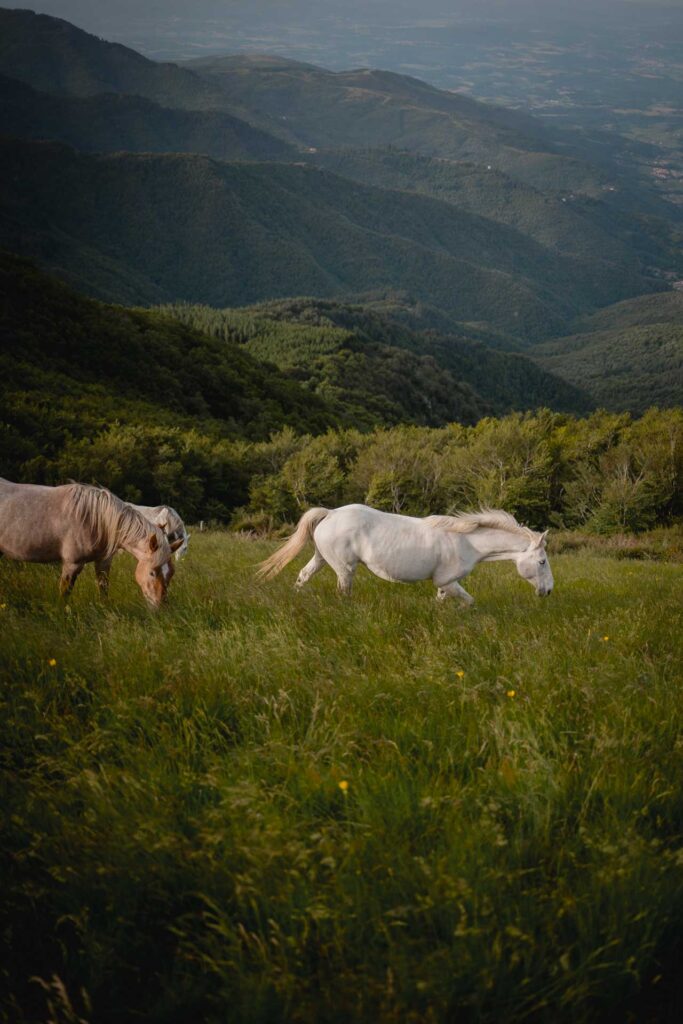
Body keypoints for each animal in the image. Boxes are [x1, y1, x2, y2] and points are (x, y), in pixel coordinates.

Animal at [0, 479, 183, 606]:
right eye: (152, 573)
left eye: (171, 573)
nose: (161, 606)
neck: (97, 520)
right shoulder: (72, 564)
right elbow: (65, 592)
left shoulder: (103, 562)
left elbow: (103, 588)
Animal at [259, 501, 552, 598]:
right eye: (542, 561)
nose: (548, 591)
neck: (467, 542)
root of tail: (330, 513)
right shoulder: (447, 580)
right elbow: (469, 601)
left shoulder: (444, 583)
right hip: (344, 568)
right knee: (343, 591)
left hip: (321, 558)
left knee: (303, 575)